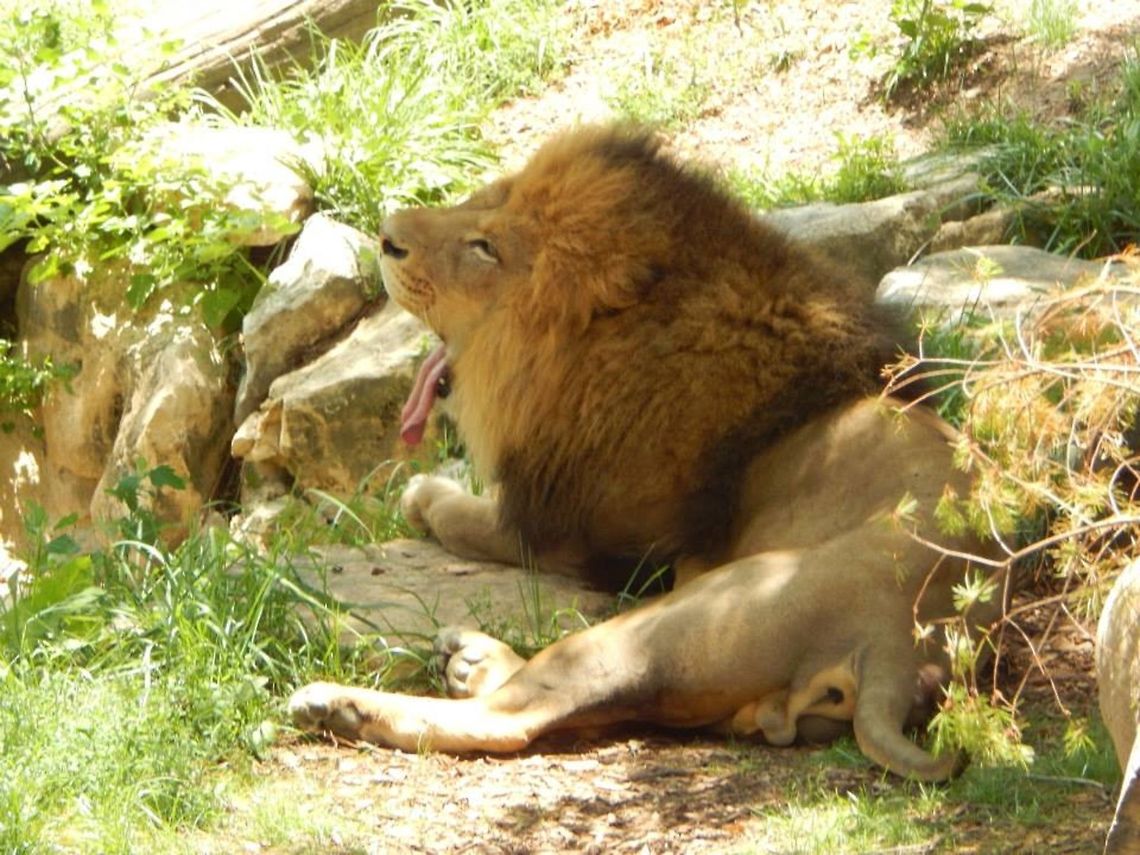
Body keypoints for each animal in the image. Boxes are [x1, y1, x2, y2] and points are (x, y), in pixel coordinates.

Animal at [289, 125, 1004, 780]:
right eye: (485, 198)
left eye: (485, 247)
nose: (386, 234)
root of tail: (898, 647)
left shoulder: (579, 537)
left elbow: (468, 520)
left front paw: (425, 493)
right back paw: (467, 659)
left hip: (694, 612)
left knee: (515, 717)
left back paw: (340, 704)